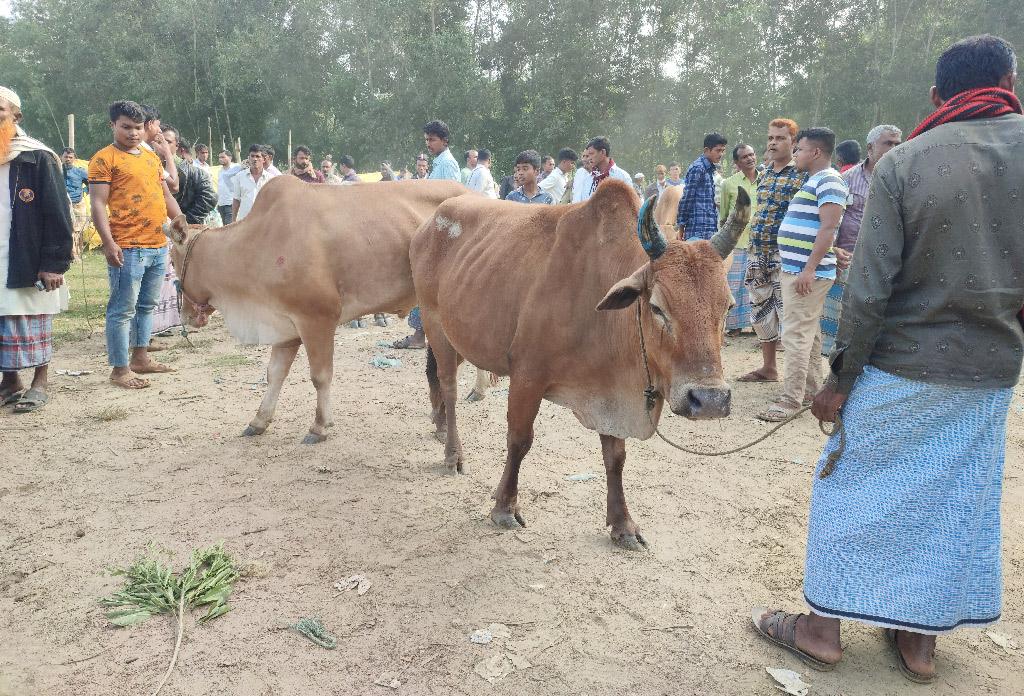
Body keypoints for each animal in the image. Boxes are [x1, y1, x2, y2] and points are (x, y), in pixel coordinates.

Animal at [164, 177, 468, 442]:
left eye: (172, 259)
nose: (187, 315)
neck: (254, 245)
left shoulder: (317, 320)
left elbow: (320, 377)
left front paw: (319, 426)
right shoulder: (284, 327)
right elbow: (274, 374)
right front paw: (259, 421)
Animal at [407, 178, 753, 548]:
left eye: (728, 306)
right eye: (657, 307)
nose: (710, 400)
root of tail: (431, 223)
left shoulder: (610, 392)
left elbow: (615, 458)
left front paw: (623, 525)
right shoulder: (527, 374)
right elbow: (519, 440)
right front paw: (504, 507)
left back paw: (440, 426)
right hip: (435, 325)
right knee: (449, 388)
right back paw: (452, 452)